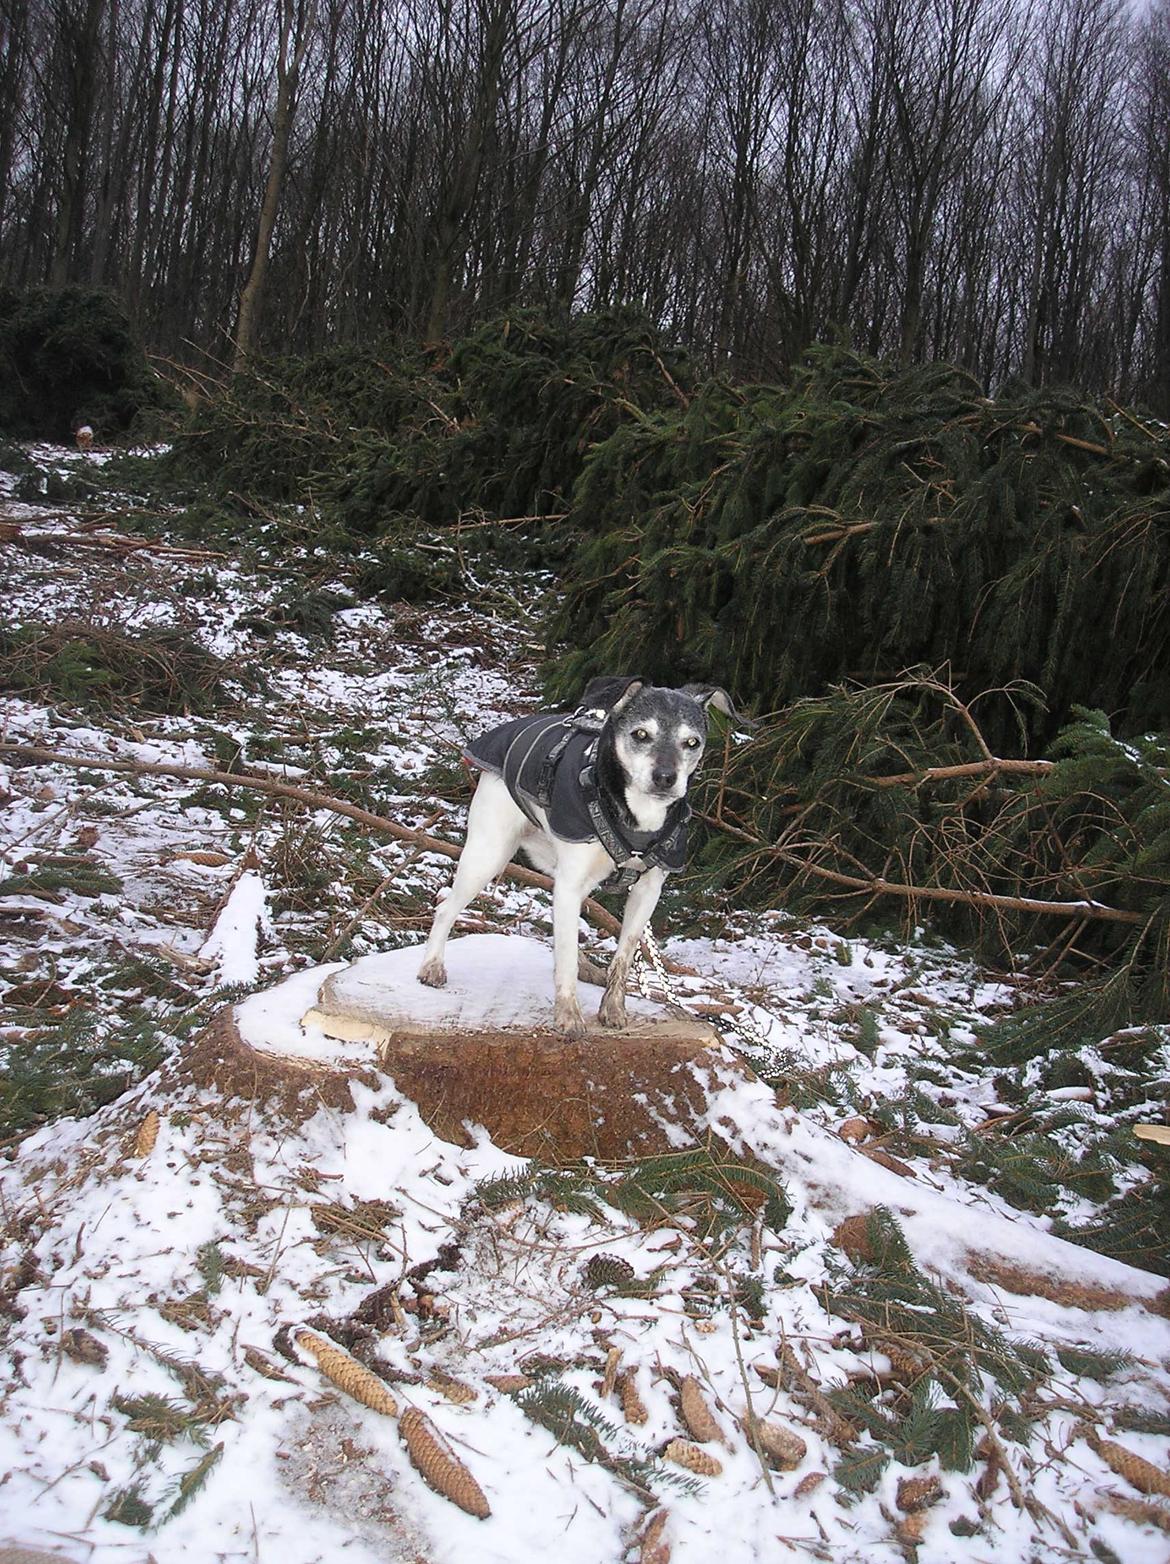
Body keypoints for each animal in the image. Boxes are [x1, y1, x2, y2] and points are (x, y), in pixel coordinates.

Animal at [419, 675, 750, 1032]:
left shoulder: (647, 890)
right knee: (447, 908)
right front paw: (568, 1016)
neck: (638, 818)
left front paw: (613, 1009)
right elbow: (565, 961)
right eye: (641, 734)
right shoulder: (571, 882)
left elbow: (623, 955)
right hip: (488, 854)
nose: (666, 778)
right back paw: (431, 966)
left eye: (691, 742)